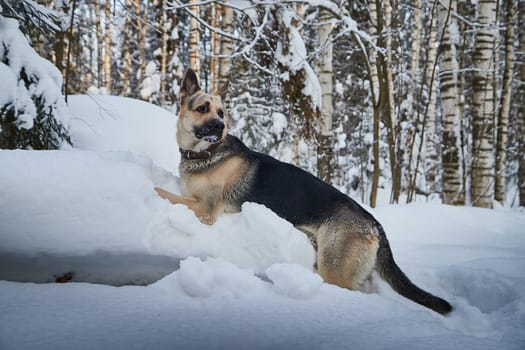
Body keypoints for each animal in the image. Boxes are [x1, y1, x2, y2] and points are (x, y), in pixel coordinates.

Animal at [155, 68, 450, 314]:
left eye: (221, 113)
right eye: (203, 108)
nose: (220, 126)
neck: (206, 154)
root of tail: (375, 224)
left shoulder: (205, 211)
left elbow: (166, 194)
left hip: (334, 268)